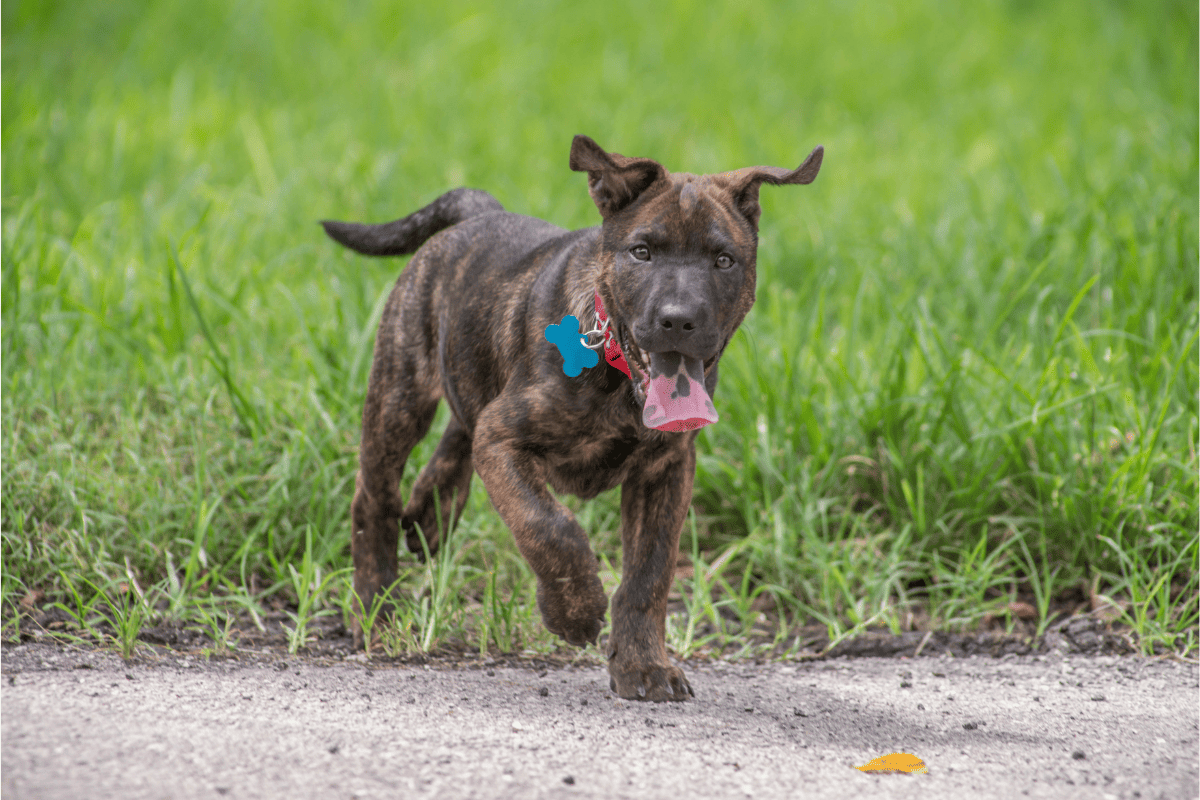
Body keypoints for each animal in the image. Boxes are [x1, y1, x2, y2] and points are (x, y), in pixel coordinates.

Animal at [324, 136, 820, 700]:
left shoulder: (667, 469)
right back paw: (376, 611)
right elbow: (548, 525)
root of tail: (481, 213)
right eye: (642, 252)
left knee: (457, 431)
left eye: (724, 260)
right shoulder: (504, 439)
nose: (678, 320)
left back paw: (431, 514)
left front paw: (643, 665)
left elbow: (649, 574)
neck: (617, 373)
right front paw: (575, 612)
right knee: (374, 497)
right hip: (400, 393)